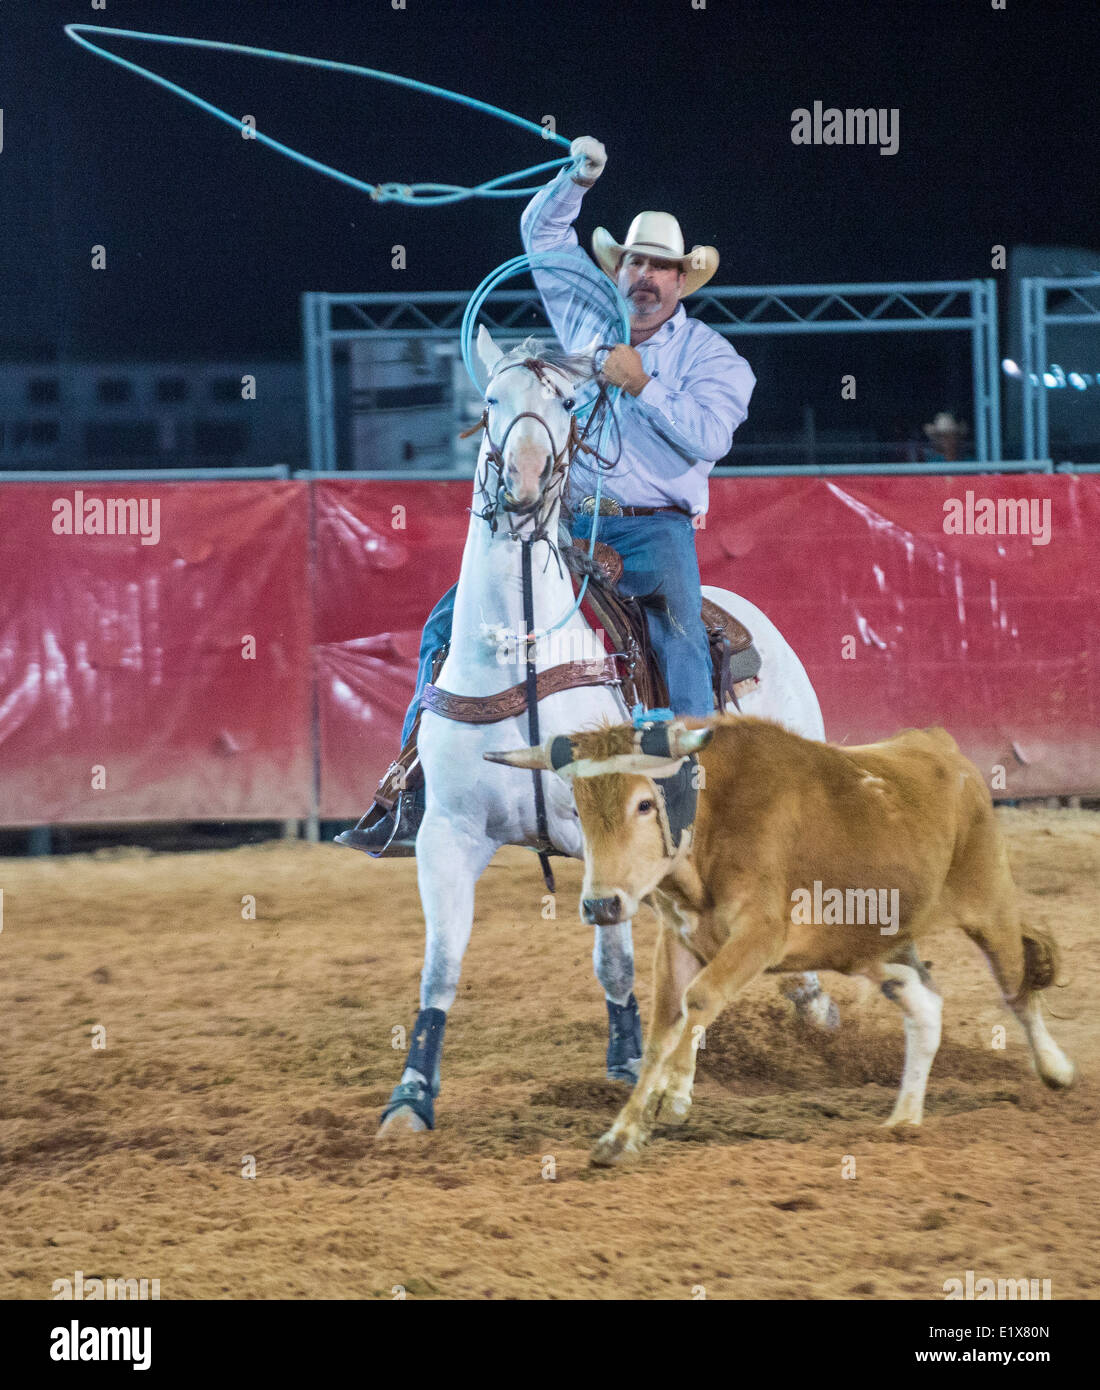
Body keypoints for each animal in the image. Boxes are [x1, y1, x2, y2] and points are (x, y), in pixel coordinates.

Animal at [378, 330, 834, 1134]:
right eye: (490, 398)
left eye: (567, 402)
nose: (527, 481)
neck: (525, 652)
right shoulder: (447, 835)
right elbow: (441, 965)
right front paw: (410, 1097)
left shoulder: (606, 831)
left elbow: (614, 960)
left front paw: (626, 1066)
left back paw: (805, 1003)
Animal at [489, 717, 1073, 1162]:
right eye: (578, 809)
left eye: (644, 805)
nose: (601, 905)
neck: (714, 822)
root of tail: (940, 747)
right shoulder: (677, 942)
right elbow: (663, 1027)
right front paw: (623, 1133)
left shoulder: (761, 935)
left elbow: (702, 998)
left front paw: (674, 1096)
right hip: (872, 946)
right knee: (925, 1004)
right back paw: (904, 1119)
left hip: (989, 903)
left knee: (1018, 988)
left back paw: (1056, 1071)